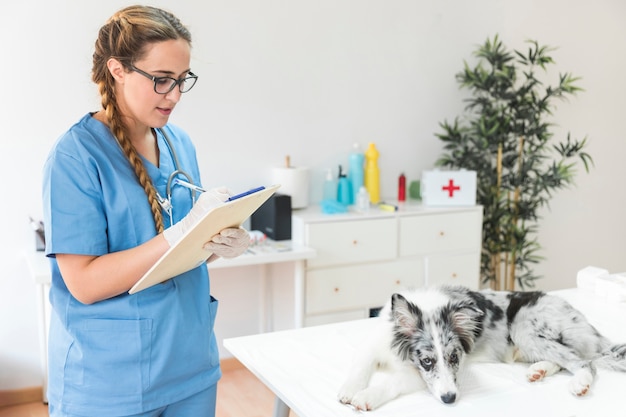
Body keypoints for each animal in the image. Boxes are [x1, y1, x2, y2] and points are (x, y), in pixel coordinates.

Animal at [336, 286, 624, 410]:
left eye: (455, 357)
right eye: (427, 361)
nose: (450, 399)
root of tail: (587, 324)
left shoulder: (415, 376)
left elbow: (390, 382)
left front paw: (366, 397)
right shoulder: (372, 345)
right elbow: (359, 367)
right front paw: (348, 391)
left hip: (524, 328)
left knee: (583, 361)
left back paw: (580, 383)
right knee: (567, 359)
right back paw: (538, 371)